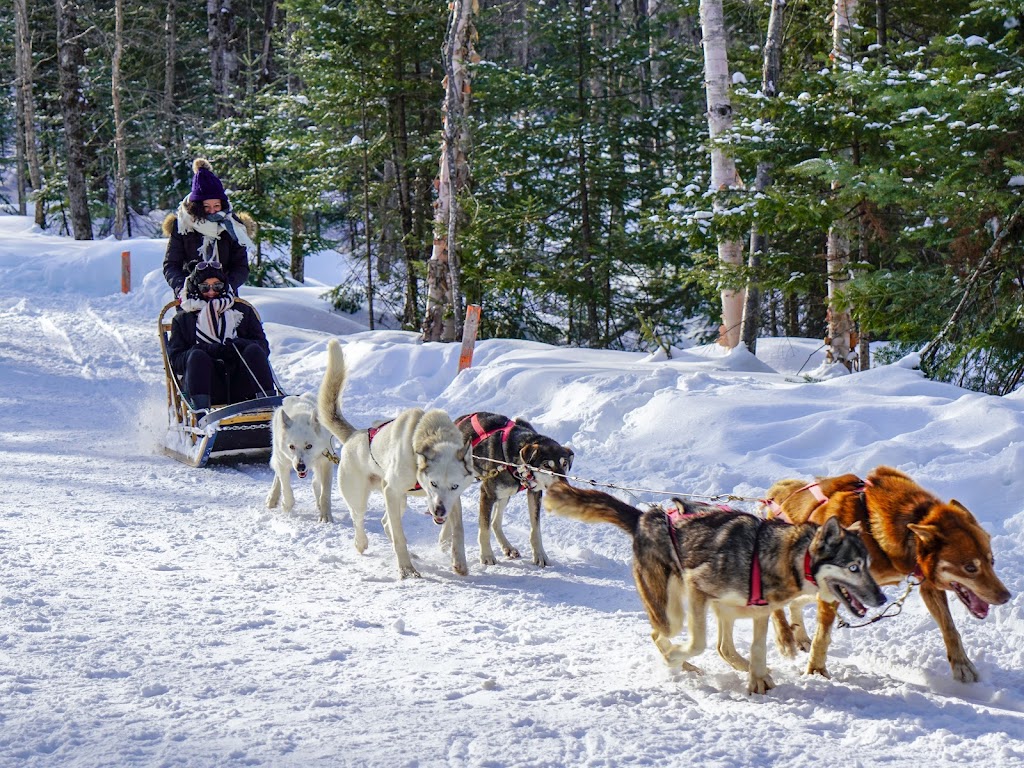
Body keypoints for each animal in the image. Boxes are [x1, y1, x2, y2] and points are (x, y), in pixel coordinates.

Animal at [765, 466, 1011, 684]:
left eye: (991, 561)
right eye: (970, 567)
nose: (1006, 596)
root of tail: (776, 492)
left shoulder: (926, 583)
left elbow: (950, 628)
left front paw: (961, 664)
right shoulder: (833, 590)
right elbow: (823, 636)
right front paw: (816, 670)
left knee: (795, 603)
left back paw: (799, 637)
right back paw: (785, 638)